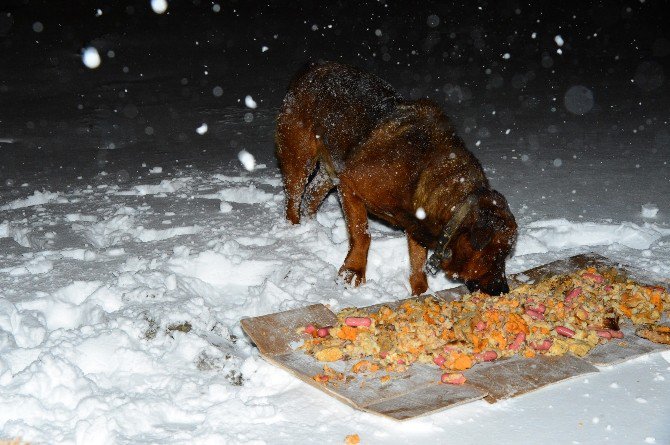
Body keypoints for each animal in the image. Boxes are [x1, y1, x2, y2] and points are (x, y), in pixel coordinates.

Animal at [276, 60, 516, 294]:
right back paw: (294, 229)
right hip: (299, 157)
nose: (503, 289)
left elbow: (418, 260)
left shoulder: (417, 221)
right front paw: (353, 272)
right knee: (294, 197)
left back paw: (311, 226)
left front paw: (420, 291)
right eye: (496, 256)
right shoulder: (349, 185)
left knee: (313, 193)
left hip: (331, 167)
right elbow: (363, 235)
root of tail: (312, 67)